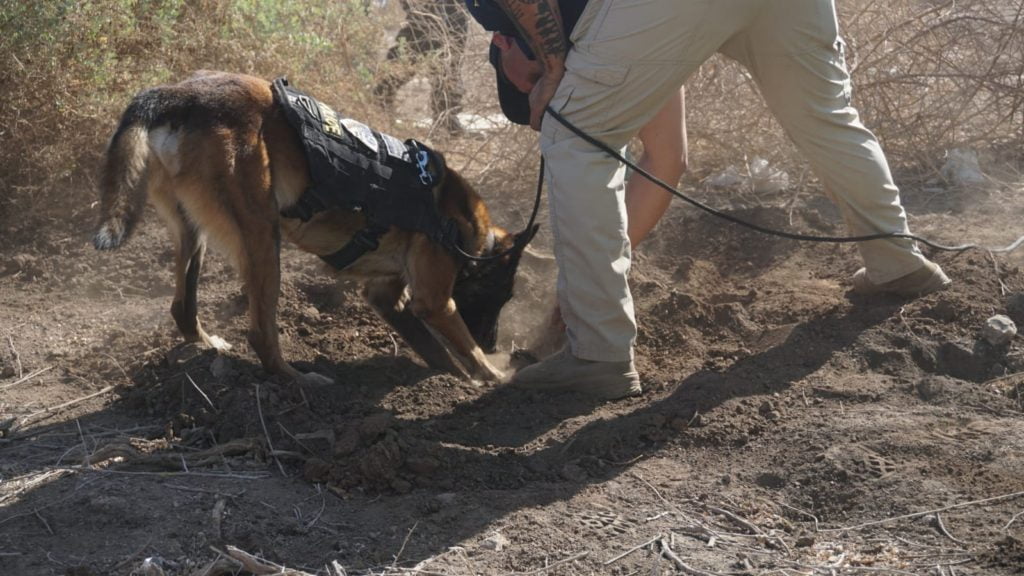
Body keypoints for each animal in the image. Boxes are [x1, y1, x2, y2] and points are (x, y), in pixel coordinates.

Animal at [93, 72, 536, 385]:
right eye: (501, 295)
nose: (494, 343)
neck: (465, 233)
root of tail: (181, 95)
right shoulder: (436, 302)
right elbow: (464, 348)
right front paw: (497, 378)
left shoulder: (386, 297)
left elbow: (438, 353)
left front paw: (456, 381)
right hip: (262, 238)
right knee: (261, 334)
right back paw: (299, 380)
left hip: (193, 228)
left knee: (183, 309)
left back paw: (211, 345)